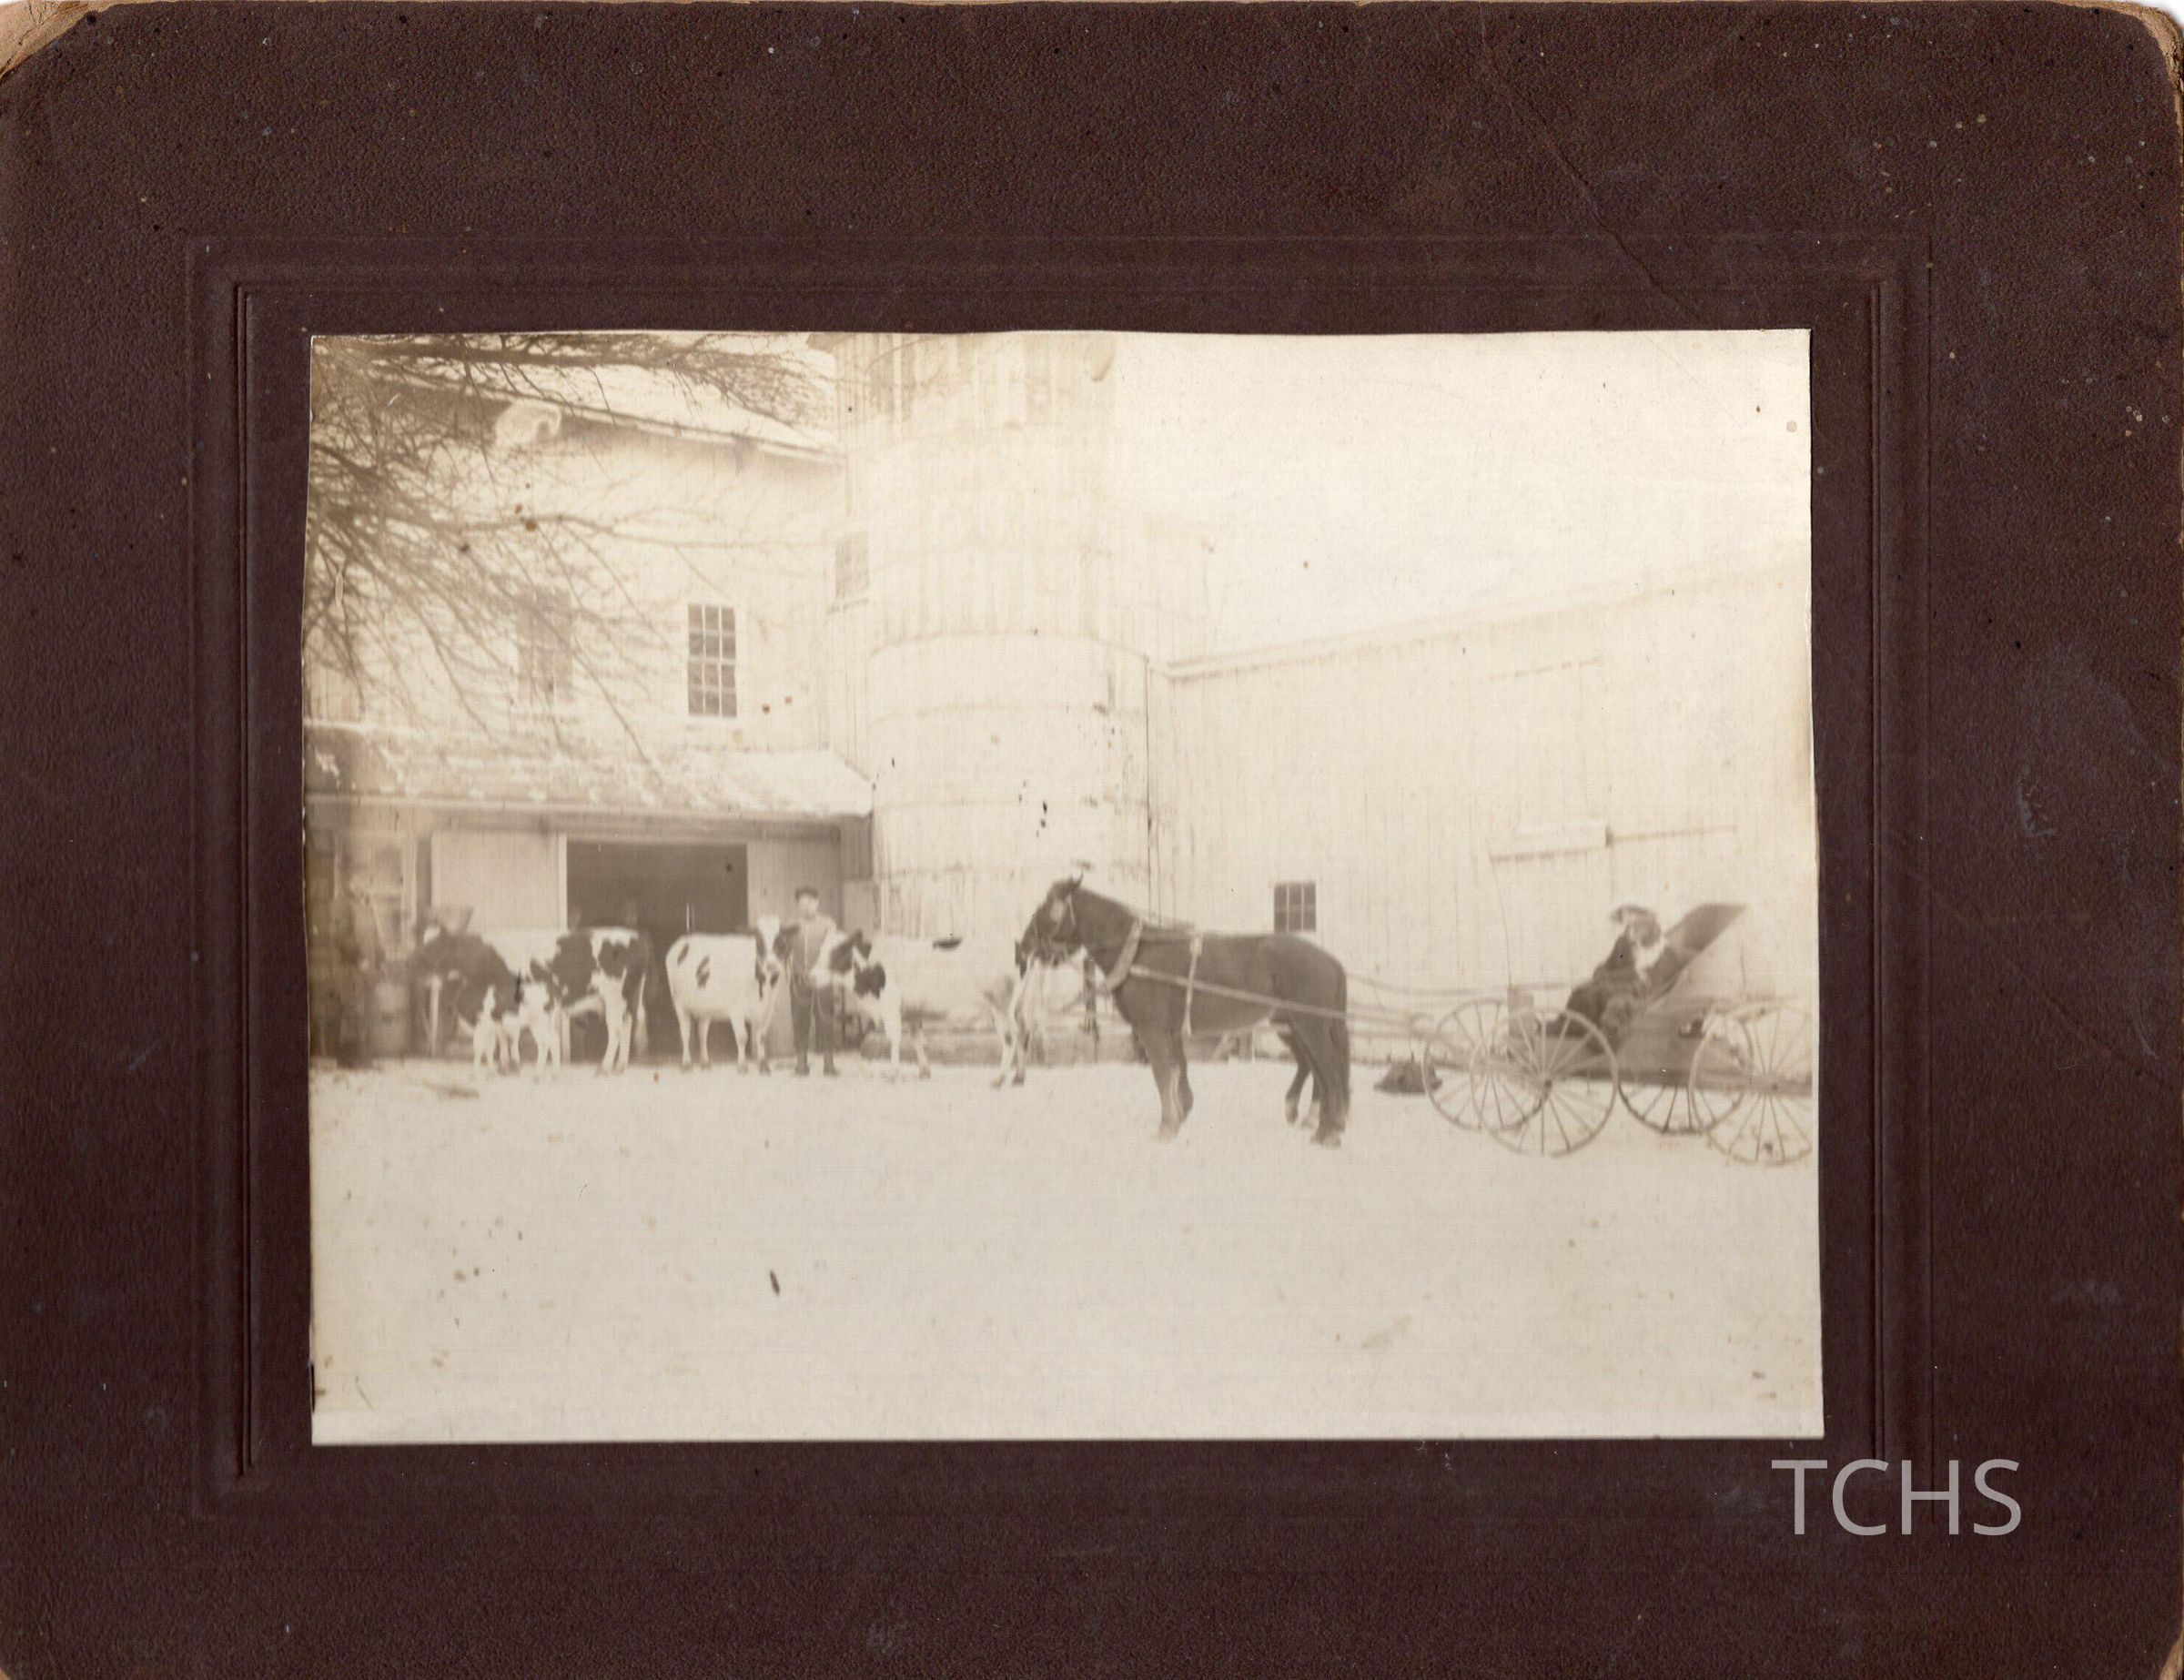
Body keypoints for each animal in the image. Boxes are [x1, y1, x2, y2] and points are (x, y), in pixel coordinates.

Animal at [665, 915, 785, 1072]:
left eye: (781, 940)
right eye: (758, 941)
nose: (771, 965)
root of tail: (682, 940)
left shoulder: (768, 1007)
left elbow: (762, 1036)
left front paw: (763, 1065)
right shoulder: (736, 1007)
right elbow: (742, 1036)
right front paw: (742, 1066)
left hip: (706, 1006)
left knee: (702, 1031)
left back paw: (705, 1062)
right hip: (679, 1002)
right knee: (685, 1031)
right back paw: (686, 1064)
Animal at [812, 931, 1054, 1084]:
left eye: (837, 952)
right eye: (821, 950)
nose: (811, 976)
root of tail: (1020, 946)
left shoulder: (890, 1004)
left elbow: (894, 1039)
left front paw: (893, 1073)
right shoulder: (912, 1011)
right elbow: (917, 1039)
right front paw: (924, 1071)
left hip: (1001, 1007)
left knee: (1011, 1037)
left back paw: (999, 1078)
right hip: (1020, 1005)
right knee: (1024, 1033)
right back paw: (1019, 1077)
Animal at [1020, 877, 1351, 1147]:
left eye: (1048, 906)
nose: (1022, 947)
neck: (1138, 953)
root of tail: (1332, 962)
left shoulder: (1152, 1031)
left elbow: (1162, 1075)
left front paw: (1166, 1128)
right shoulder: (1171, 1032)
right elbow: (1179, 1070)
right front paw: (1180, 1115)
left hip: (1309, 1026)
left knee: (1330, 1073)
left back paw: (1328, 1131)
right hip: (1297, 1026)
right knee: (1319, 1071)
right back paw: (1321, 1125)